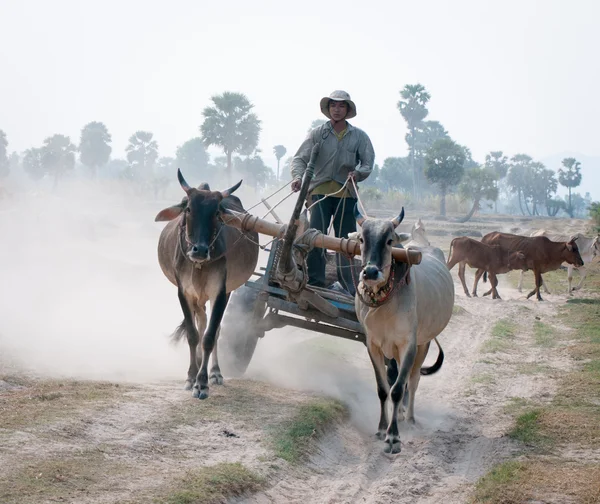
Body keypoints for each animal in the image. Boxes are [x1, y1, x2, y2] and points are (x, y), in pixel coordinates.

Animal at [154, 171, 258, 400]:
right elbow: (193, 335)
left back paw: (215, 372)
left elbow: (210, 336)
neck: (199, 265)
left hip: (224, 293)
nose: (200, 250)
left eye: (217, 213)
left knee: (213, 329)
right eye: (188, 208)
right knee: (200, 324)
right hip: (198, 299)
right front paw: (191, 377)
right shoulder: (184, 293)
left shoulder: (220, 292)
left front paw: (202, 383)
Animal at [352, 207, 454, 454]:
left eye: (390, 240)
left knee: (412, 381)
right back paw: (397, 414)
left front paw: (394, 437)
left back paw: (409, 418)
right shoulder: (373, 344)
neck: (384, 304)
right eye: (361, 239)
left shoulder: (409, 344)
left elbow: (399, 389)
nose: (370, 272)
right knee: (398, 378)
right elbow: (383, 388)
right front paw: (382, 429)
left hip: (423, 343)